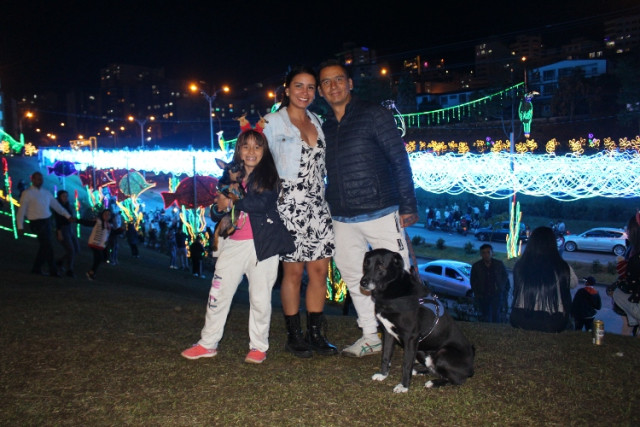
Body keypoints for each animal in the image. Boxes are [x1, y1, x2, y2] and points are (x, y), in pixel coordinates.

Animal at [360, 247, 476, 394]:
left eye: (380, 265)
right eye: (366, 263)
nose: (363, 282)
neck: (392, 289)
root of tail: (470, 368)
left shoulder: (411, 338)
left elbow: (406, 364)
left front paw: (404, 386)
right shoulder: (388, 333)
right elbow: (385, 356)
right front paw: (383, 375)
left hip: (442, 353)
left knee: (455, 379)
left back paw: (433, 382)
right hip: (422, 350)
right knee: (433, 368)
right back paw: (419, 371)